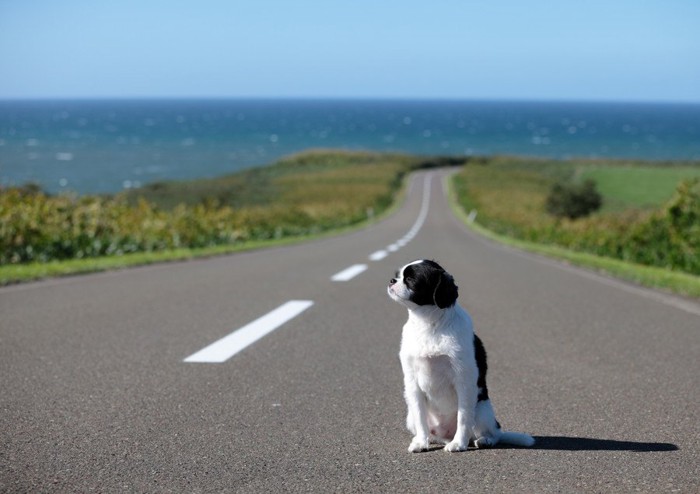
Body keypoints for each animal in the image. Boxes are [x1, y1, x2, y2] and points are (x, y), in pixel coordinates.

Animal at [386, 260, 532, 454]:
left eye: (410, 279)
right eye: (399, 275)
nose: (392, 280)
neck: (429, 324)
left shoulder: (464, 380)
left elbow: (463, 417)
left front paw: (458, 444)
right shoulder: (412, 383)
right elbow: (420, 418)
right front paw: (421, 443)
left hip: (482, 409)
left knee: (493, 433)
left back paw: (483, 440)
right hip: (410, 417)